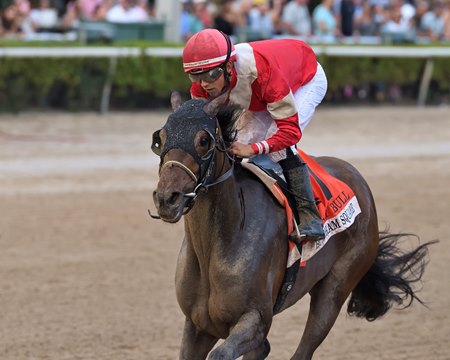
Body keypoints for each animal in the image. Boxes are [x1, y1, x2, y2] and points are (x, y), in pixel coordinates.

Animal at [151, 93, 436, 360]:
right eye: (160, 139)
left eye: (204, 140)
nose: (167, 198)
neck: (215, 246)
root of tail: (357, 178)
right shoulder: (197, 326)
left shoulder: (255, 319)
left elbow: (224, 352)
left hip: (335, 289)